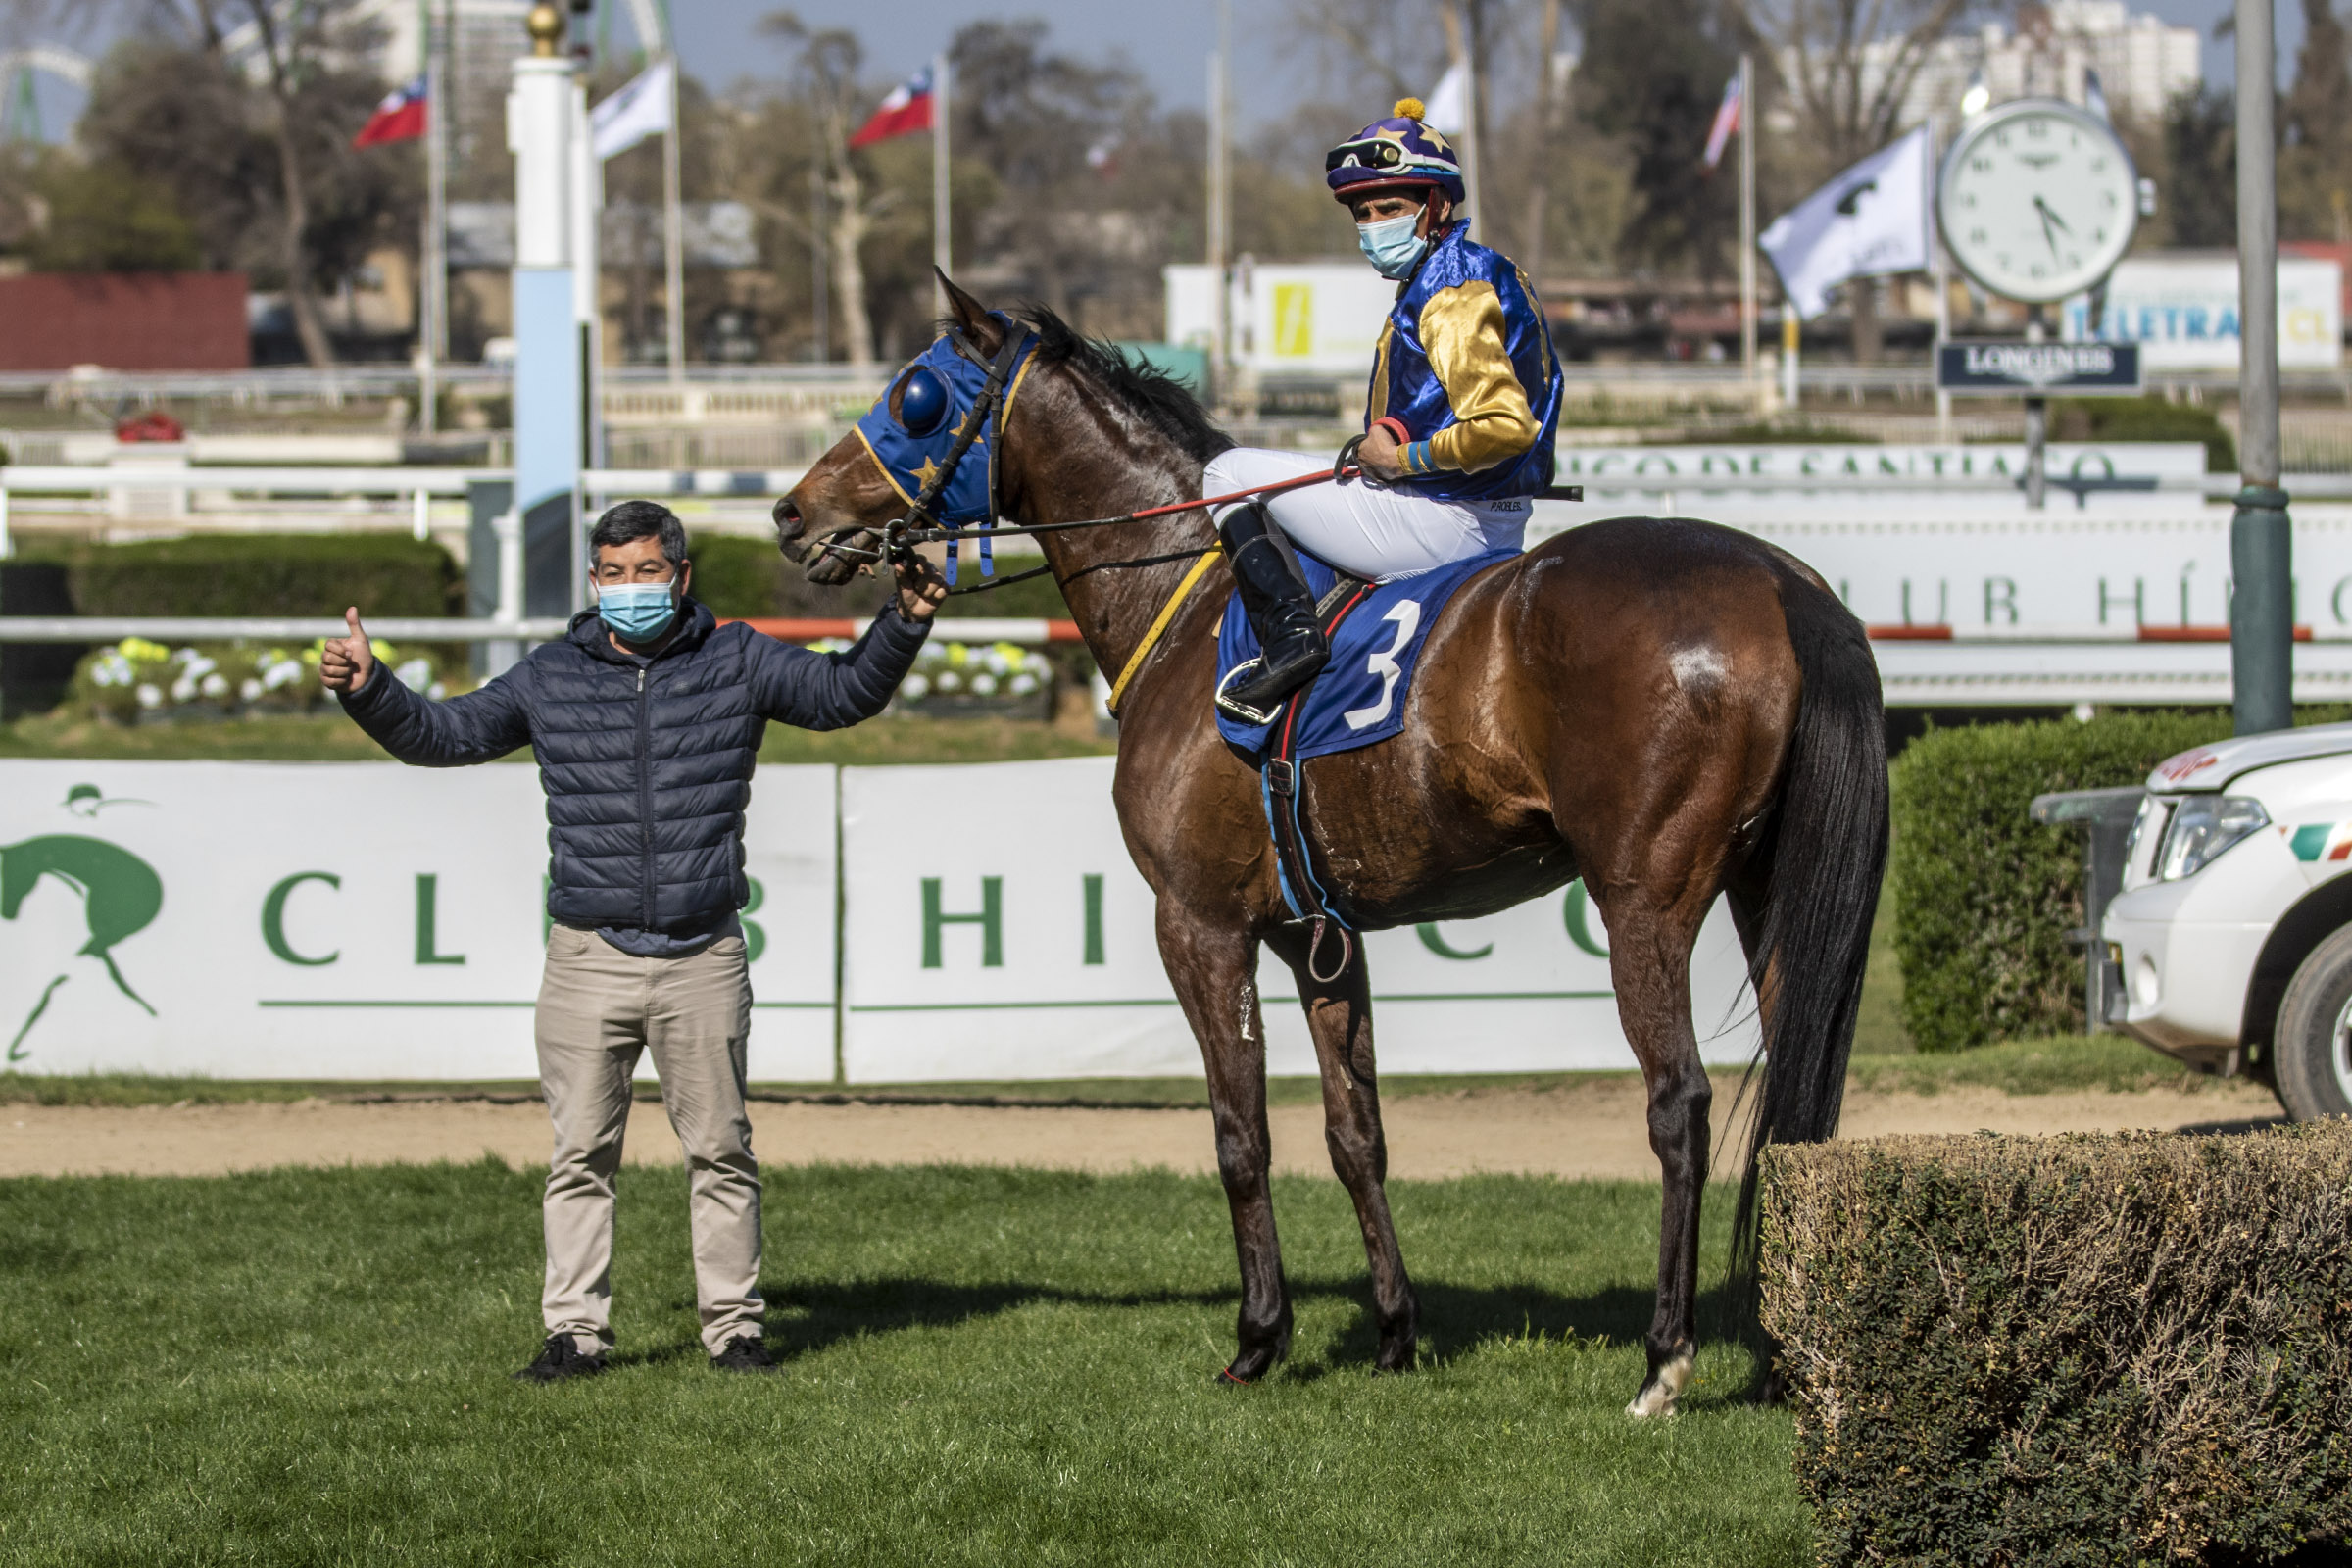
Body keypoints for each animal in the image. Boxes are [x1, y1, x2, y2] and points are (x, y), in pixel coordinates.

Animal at [774, 280, 1888, 1417]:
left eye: (913, 396)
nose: (791, 513)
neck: (1190, 605)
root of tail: (1782, 583)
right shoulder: (1321, 933)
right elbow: (1357, 1135)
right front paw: (1394, 1331)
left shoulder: (1199, 925)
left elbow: (1241, 1136)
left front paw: (1259, 1336)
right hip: (1766, 890)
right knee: (1798, 1104)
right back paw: (1789, 1352)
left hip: (1643, 900)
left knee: (1682, 1102)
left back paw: (1666, 1356)